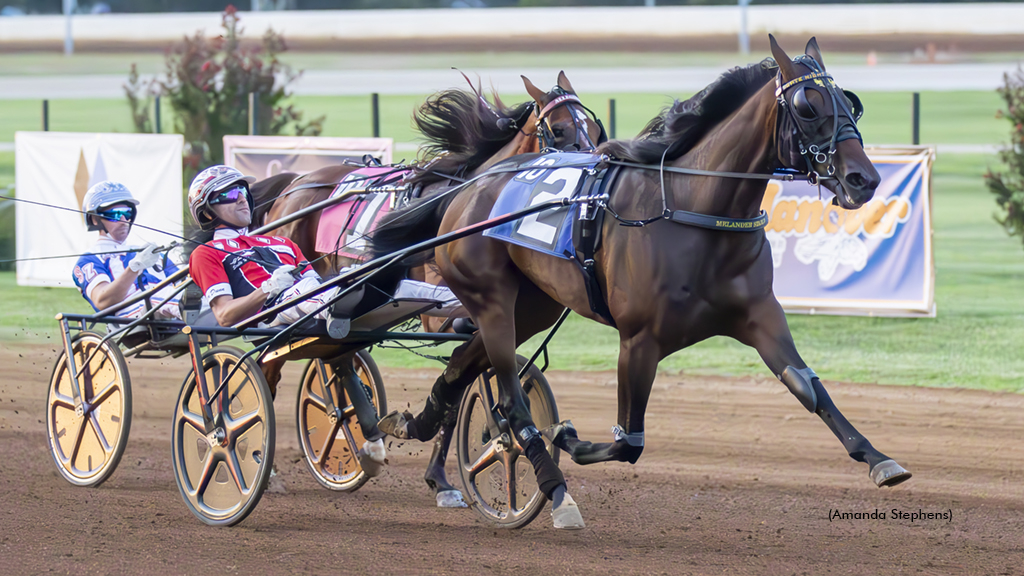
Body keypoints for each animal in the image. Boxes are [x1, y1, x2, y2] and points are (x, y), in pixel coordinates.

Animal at [260, 70, 602, 502]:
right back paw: (269, 465)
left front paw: (444, 474)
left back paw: (368, 443)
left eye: (594, 128)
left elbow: (463, 381)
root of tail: (296, 184)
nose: (593, 169)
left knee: (337, 356)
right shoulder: (444, 313)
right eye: (557, 130)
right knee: (274, 363)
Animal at [374, 36, 913, 528]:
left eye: (851, 103)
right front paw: (567, 437)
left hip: (531, 306)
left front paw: (879, 459)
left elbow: (808, 387)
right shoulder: (639, 338)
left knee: (462, 366)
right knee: (510, 399)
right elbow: (628, 441)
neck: (692, 208)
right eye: (807, 105)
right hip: (490, 300)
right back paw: (555, 490)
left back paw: (411, 425)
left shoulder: (759, 315)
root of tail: (470, 187)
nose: (865, 179)